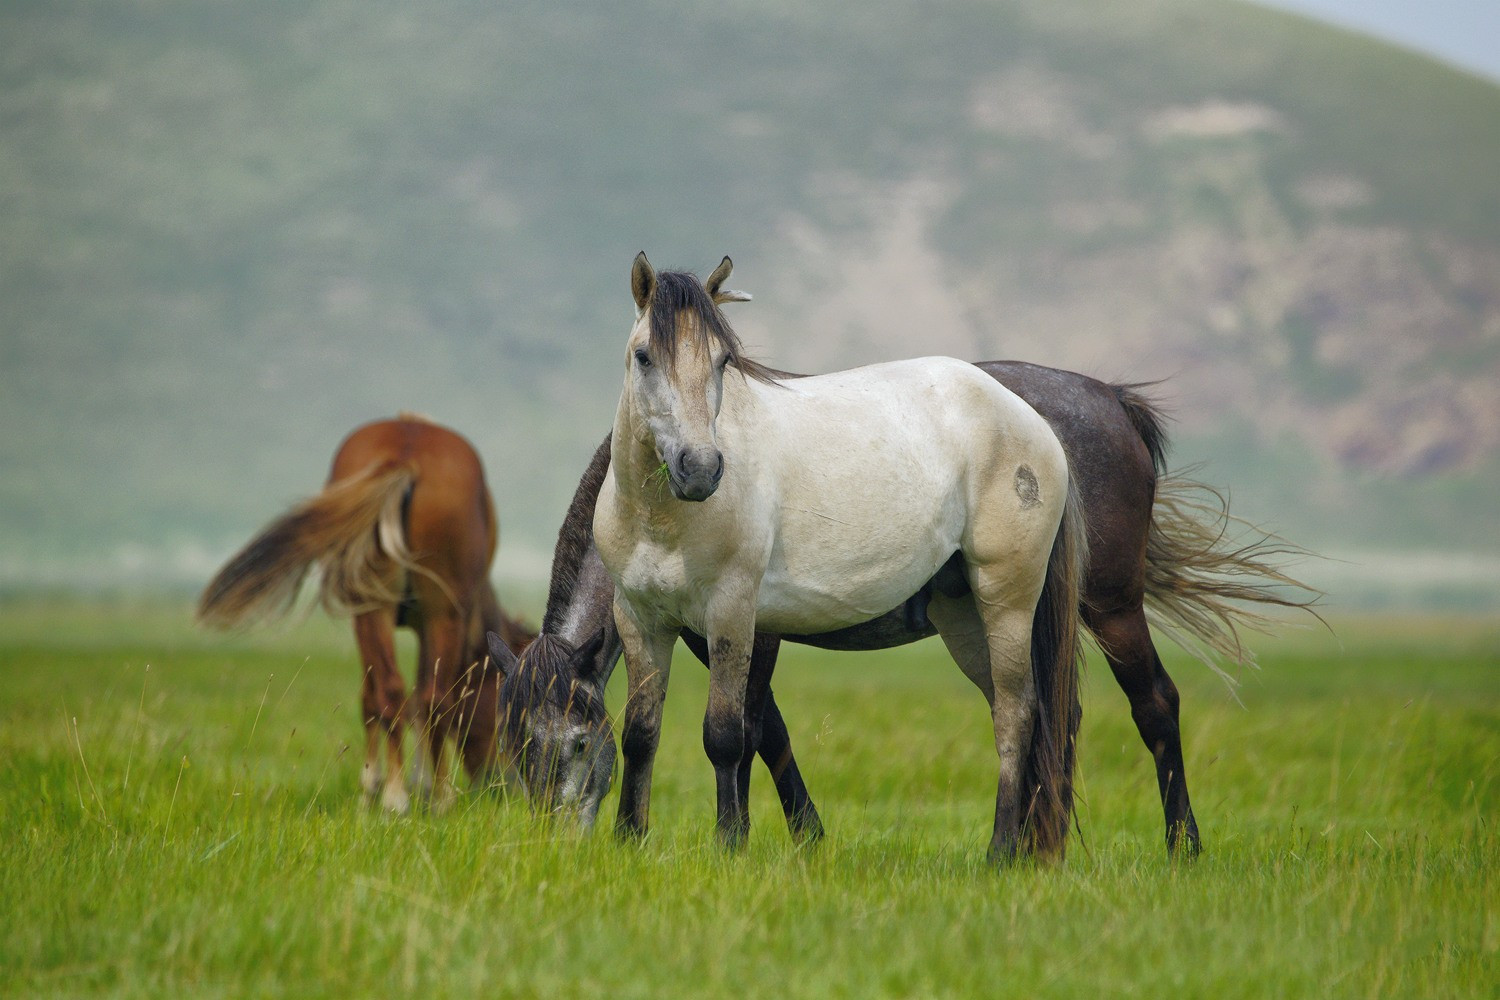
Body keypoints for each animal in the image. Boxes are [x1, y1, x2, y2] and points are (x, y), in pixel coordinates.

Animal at [193, 413, 534, 815]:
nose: (506, 784)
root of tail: (405, 453)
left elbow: (385, 699)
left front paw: (381, 785)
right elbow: (411, 699)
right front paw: (414, 784)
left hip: (384, 609)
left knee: (396, 693)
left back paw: (399, 796)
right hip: (435, 613)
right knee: (427, 697)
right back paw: (431, 797)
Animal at [588, 251, 1092, 863]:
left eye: (721, 361)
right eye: (644, 357)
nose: (700, 468)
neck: (662, 521)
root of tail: (1034, 423)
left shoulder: (731, 614)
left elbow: (725, 734)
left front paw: (729, 844)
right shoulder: (639, 619)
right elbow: (641, 732)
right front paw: (628, 840)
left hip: (1007, 602)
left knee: (1017, 717)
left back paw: (998, 854)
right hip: (964, 616)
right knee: (1008, 708)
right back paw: (1019, 850)